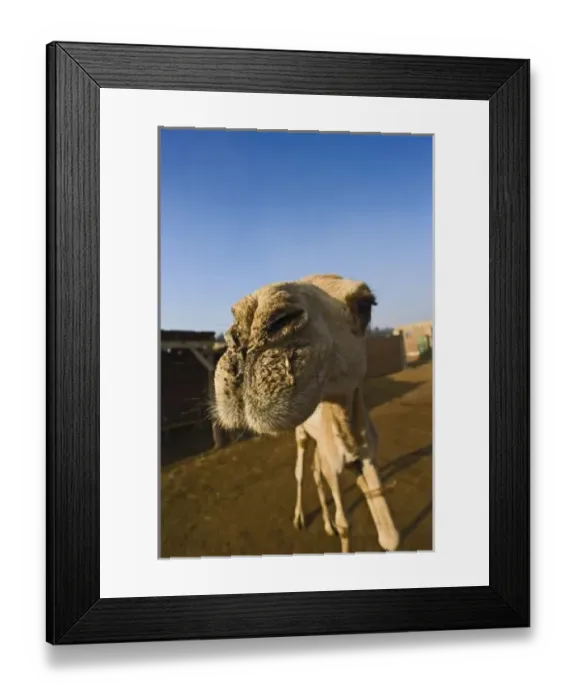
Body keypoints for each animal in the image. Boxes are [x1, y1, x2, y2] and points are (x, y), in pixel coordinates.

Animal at [213, 273, 399, 553]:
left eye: (365, 304)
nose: (247, 326)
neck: (351, 441)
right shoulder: (334, 462)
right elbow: (345, 523)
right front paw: (335, 526)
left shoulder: (367, 456)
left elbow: (390, 536)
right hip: (301, 433)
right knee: (302, 472)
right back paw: (300, 518)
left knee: (315, 471)